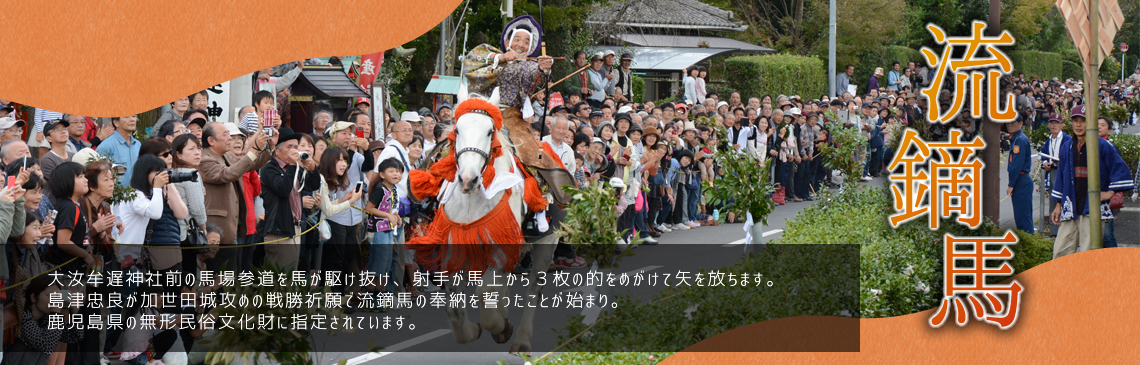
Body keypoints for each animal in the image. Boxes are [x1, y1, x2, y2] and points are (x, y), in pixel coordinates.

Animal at [440, 86, 556, 355]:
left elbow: (485, 292)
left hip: (547, 240)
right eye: (457, 130)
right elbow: (454, 308)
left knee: (533, 289)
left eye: (489, 131)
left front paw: (501, 328)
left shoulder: (502, 245)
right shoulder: (455, 249)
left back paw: (521, 340)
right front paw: (473, 331)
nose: (467, 179)